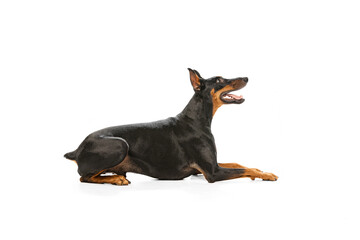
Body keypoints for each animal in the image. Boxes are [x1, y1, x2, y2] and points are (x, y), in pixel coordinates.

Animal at [64, 68, 278, 185]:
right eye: (219, 80)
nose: (246, 78)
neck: (197, 120)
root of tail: (76, 150)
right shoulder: (212, 172)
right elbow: (242, 170)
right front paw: (267, 174)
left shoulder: (209, 166)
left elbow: (240, 164)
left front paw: (261, 171)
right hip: (120, 144)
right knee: (84, 177)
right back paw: (116, 179)